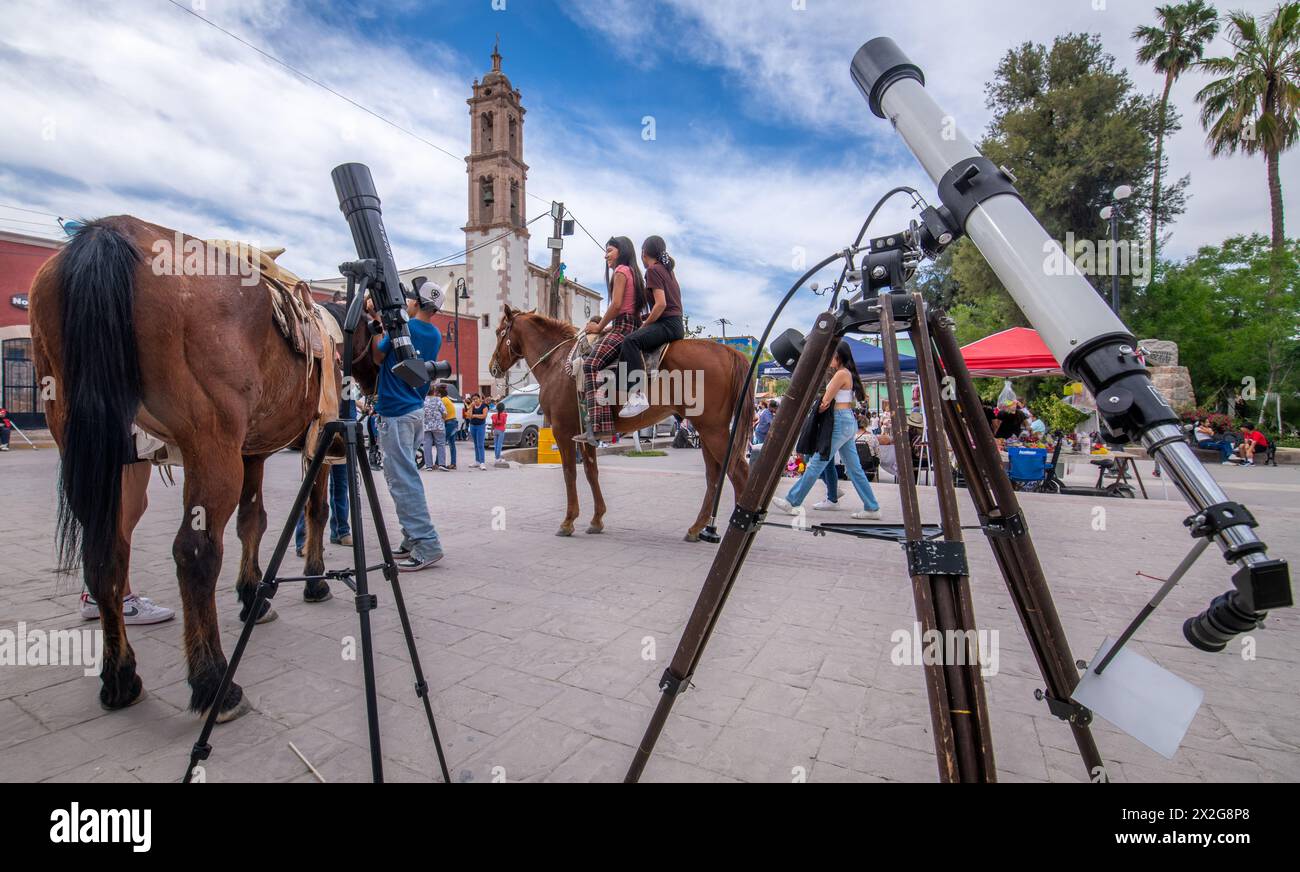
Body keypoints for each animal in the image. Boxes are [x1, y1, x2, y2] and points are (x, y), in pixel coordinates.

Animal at [34, 218, 340, 722]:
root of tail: (106, 233)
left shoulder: (252, 452)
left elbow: (253, 521)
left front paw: (253, 595)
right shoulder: (325, 441)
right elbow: (315, 511)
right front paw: (314, 581)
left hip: (84, 439)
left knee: (106, 552)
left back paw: (120, 678)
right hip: (209, 442)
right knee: (195, 553)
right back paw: (214, 683)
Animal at [488, 305, 754, 538]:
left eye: (499, 331)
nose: (492, 367)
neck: (556, 362)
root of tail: (730, 352)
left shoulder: (563, 431)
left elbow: (569, 473)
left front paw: (568, 521)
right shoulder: (586, 433)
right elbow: (591, 472)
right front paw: (597, 519)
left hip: (713, 431)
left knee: (739, 472)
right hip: (707, 430)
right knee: (714, 476)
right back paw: (696, 528)